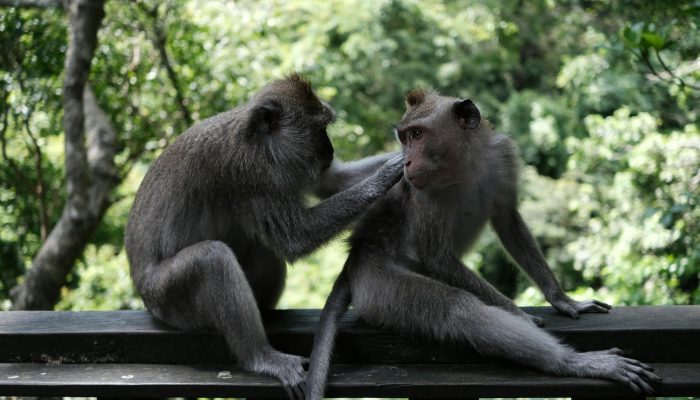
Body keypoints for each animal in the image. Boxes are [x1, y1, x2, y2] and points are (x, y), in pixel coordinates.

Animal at [124, 74, 404, 399]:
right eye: (318, 129)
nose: (330, 150)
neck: (259, 142)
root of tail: (143, 293)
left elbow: (333, 181)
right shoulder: (251, 174)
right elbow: (296, 238)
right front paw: (385, 177)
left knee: (260, 249)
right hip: (166, 299)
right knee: (212, 259)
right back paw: (260, 356)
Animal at [304, 89, 661, 400]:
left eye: (417, 135)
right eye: (405, 137)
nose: (406, 162)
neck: (464, 164)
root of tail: (356, 256)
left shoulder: (501, 157)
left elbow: (508, 221)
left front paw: (561, 299)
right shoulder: (423, 192)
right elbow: (437, 257)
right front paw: (518, 314)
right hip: (378, 285)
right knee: (457, 309)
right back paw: (573, 362)